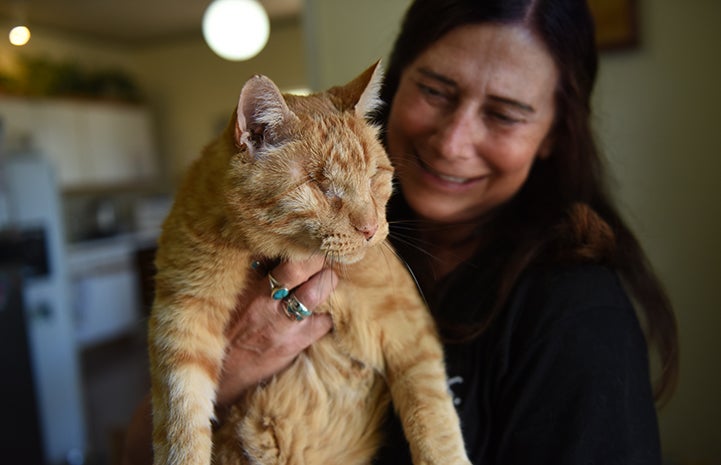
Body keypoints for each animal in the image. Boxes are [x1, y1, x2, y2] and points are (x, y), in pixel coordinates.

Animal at [149, 61, 470, 464]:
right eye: (321, 186)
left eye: (373, 176)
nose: (370, 229)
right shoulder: (183, 314)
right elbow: (180, 419)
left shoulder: (409, 325)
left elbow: (433, 419)